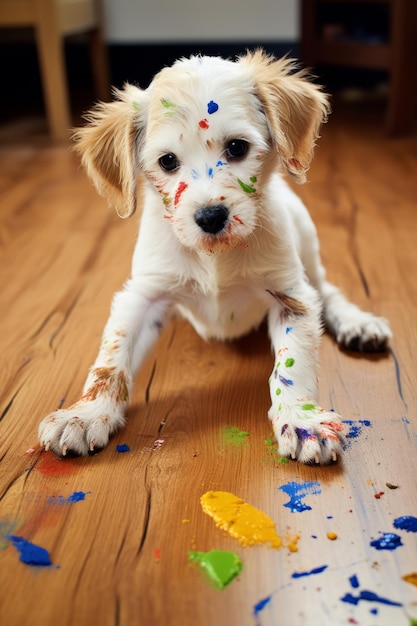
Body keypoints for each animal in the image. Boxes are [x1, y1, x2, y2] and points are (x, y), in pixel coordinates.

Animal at [38, 51, 390, 464]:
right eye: (167, 161)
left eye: (237, 147)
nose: (210, 217)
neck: (214, 257)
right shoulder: (142, 296)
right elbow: (110, 362)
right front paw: (86, 414)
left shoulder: (291, 298)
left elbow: (291, 367)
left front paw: (302, 420)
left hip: (306, 242)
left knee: (328, 291)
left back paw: (357, 323)